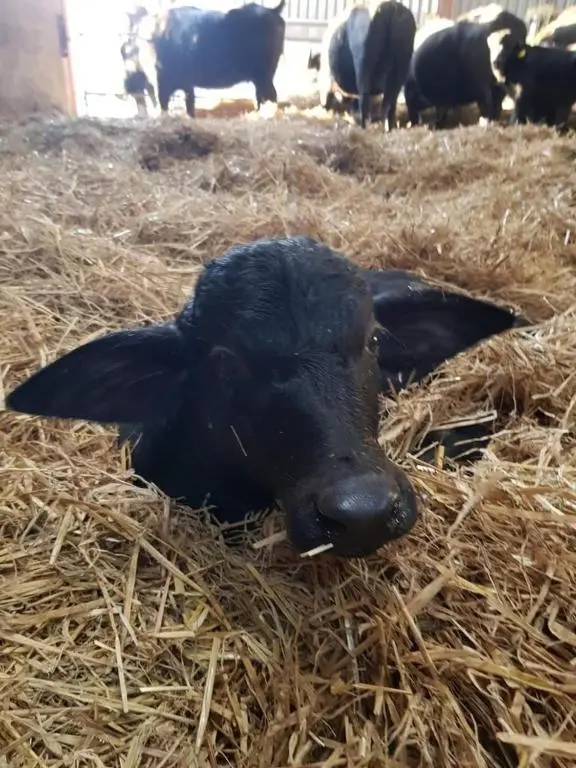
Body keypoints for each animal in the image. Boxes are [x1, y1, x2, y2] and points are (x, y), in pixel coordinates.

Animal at [121, 2, 286, 118]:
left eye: (125, 53)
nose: (126, 86)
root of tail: (272, 11)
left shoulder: (162, 83)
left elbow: (164, 104)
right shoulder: (185, 83)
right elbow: (189, 104)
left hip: (264, 75)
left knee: (270, 95)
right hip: (261, 77)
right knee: (262, 95)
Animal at [314, 0, 417, 129]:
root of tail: (391, 7)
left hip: (363, 61)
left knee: (364, 97)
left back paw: (363, 126)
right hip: (402, 62)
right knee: (390, 102)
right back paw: (388, 128)